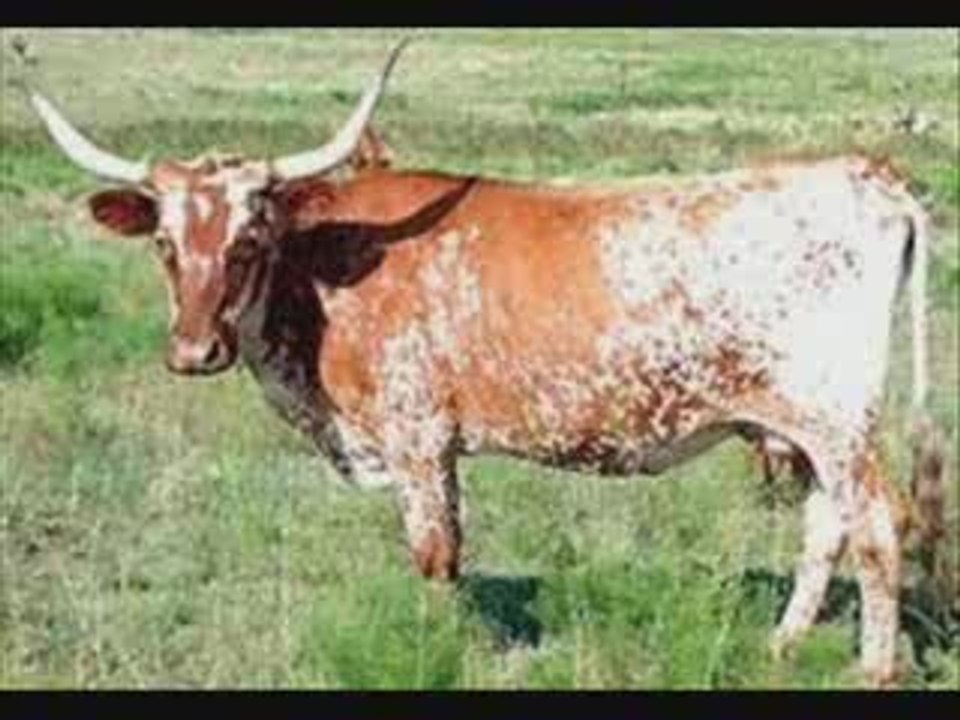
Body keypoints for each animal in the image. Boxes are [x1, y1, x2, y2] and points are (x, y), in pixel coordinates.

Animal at [26, 41, 947, 686]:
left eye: (250, 238)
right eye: (163, 242)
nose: (194, 351)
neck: (326, 271)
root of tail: (870, 174)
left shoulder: (416, 437)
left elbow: (435, 554)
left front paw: (435, 648)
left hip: (836, 418)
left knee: (875, 525)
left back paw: (874, 668)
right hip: (803, 426)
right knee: (825, 525)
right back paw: (783, 646)